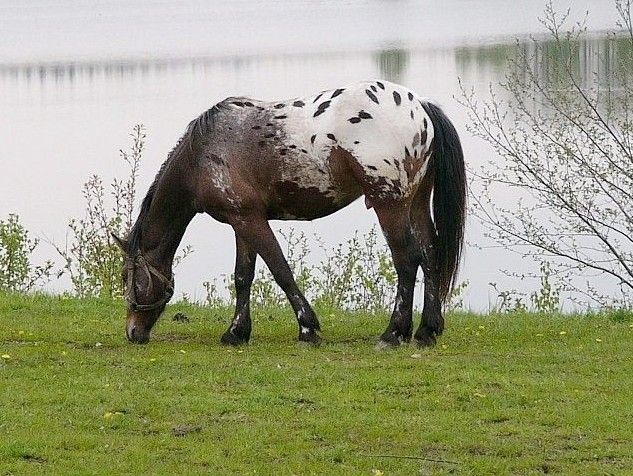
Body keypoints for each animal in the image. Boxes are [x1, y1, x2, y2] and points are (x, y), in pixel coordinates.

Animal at [112, 80, 464, 348]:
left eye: (128, 277)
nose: (132, 332)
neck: (202, 155)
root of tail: (421, 106)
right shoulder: (242, 221)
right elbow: (243, 276)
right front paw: (236, 333)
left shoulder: (250, 221)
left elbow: (280, 270)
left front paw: (308, 329)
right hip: (416, 203)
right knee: (430, 254)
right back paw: (426, 331)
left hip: (390, 205)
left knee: (407, 260)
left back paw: (393, 334)